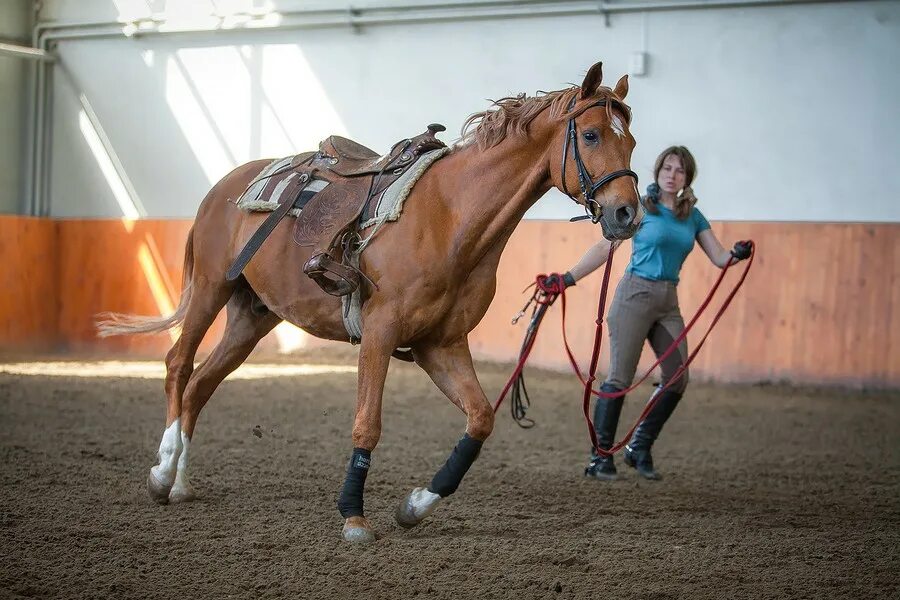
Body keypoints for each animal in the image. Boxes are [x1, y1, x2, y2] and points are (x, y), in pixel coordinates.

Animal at [100, 62, 640, 544]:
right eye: (591, 135)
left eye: (630, 140)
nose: (627, 214)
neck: (451, 216)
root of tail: (224, 187)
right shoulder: (380, 332)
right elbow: (367, 425)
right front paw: (354, 517)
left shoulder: (439, 345)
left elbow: (481, 418)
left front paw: (415, 505)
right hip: (211, 289)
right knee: (178, 364)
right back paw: (162, 473)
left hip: (251, 316)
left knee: (201, 385)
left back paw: (181, 482)